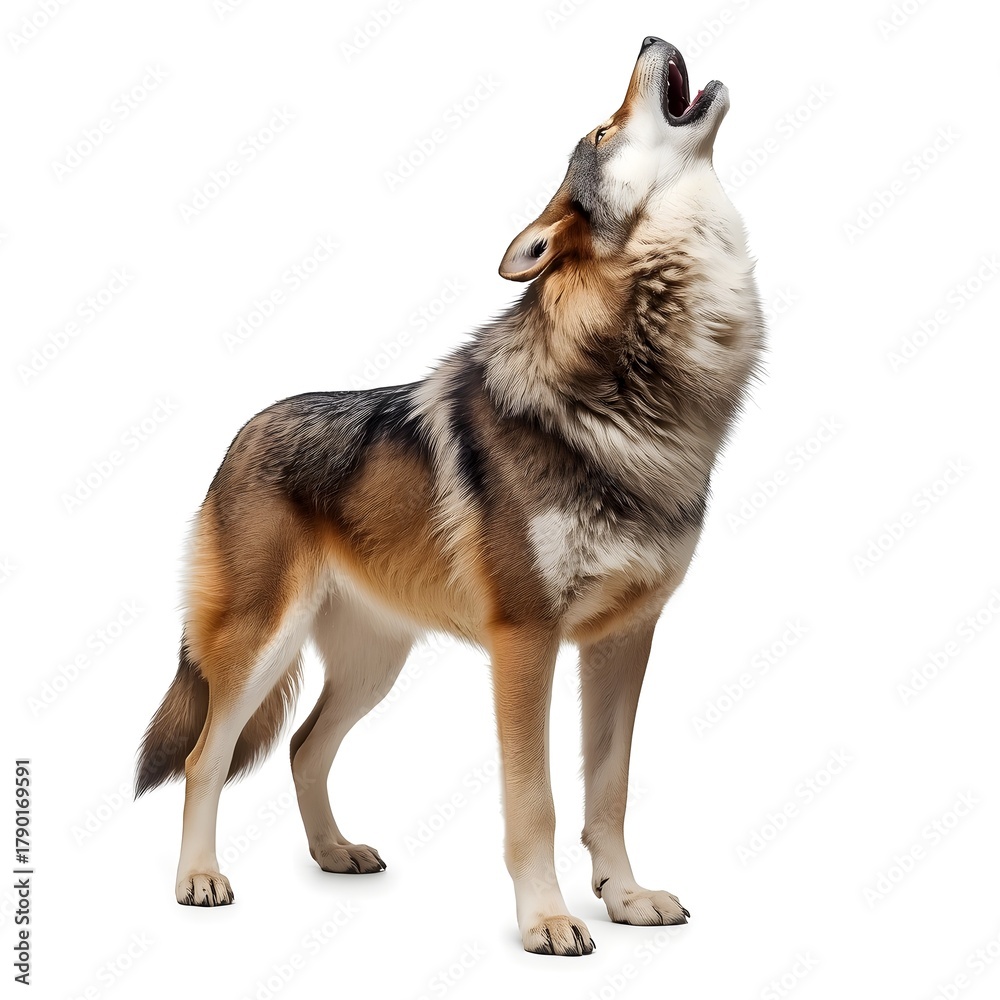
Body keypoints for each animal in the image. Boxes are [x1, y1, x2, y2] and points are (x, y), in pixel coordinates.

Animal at [135, 36, 764, 956]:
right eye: (600, 129)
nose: (652, 39)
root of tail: (240, 434)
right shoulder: (525, 640)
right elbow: (536, 803)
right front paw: (548, 921)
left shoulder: (626, 639)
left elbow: (607, 792)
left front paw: (625, 897)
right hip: (259, 646)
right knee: (204, 757)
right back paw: (198, 880)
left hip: (374, 666)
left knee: (302, 748)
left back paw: (335, 853)